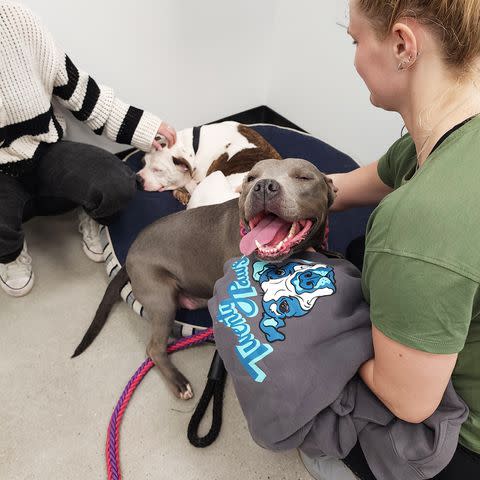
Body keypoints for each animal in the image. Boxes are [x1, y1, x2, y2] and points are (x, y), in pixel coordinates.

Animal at [73, 159, 338, 400]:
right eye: (251, 178)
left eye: (304, 177)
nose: (263, 186)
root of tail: (130, 253)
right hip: (162, 299)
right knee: (154, 348)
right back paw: (180, 383)